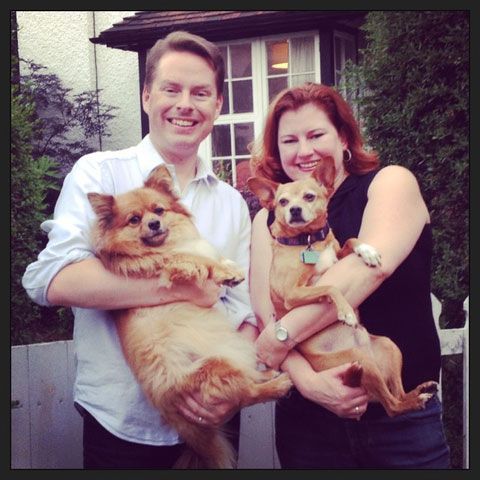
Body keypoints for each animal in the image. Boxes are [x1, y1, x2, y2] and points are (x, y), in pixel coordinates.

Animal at [86, 165, 292, 468]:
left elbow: (215, 254)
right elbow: (199, 261)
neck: (169, 244)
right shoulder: (171, 264)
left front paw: (231, 270)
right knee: (247, 393)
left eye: (159, 211)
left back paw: (269, 374)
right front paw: (222, 272)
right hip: (218, 364)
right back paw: (278, 385)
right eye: (134, 220)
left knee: (249, 379)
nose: (154, 224)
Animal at [249, 157, 436, 416]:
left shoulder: (337, 256)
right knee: (393, 406)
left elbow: (350, 241)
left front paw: (367, 251)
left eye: (309, 197)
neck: (309, 241)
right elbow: (330, 287)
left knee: (397, 396)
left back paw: (419, 391)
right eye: (283, 202)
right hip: (361, 360)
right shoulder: (293, 294)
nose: (294, 210)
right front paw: (346, 312)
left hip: (389, 347)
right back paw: (416, 399)